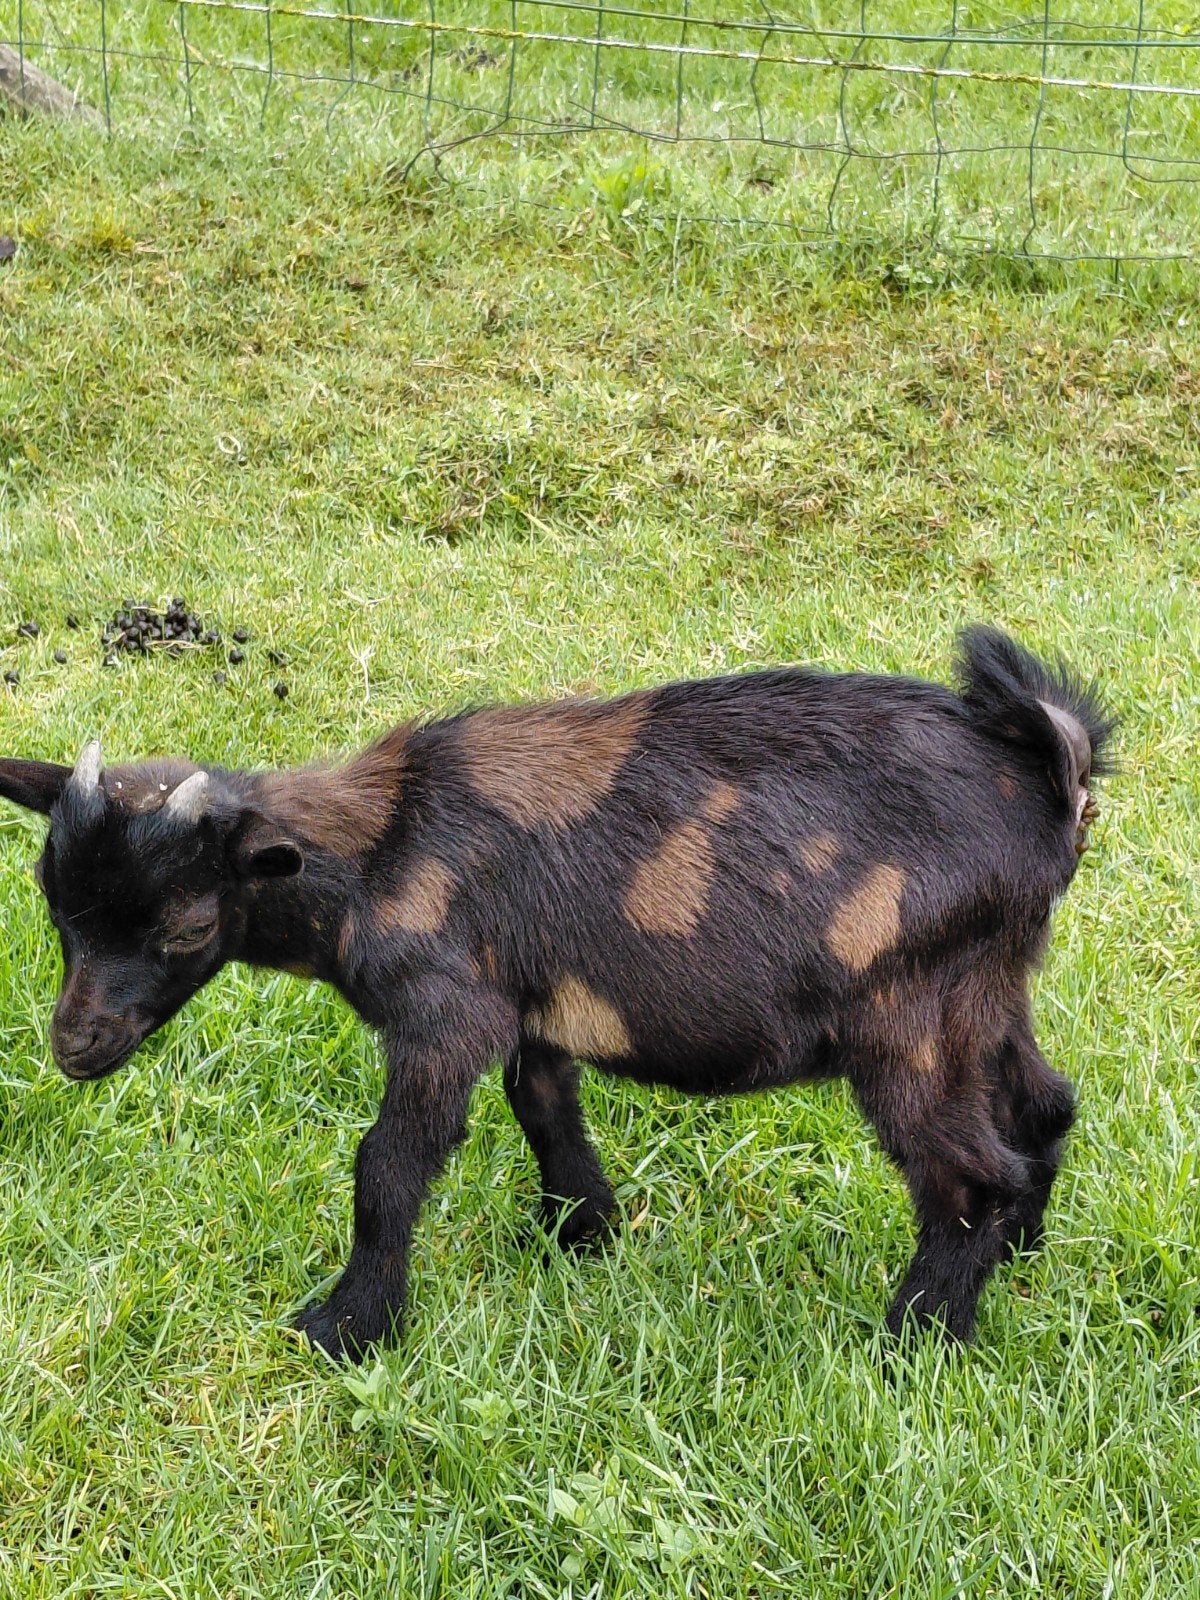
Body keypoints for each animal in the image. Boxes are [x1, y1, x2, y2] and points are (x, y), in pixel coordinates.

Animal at [0, 626, 1113, 1361]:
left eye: (187, 928)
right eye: (54, 907)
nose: (75, 1046)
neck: (376, 852)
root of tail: (1053, 783)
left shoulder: (445, 1009)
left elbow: (388, 1164)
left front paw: (348, 1327)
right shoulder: (529, 1004)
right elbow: (543, 1103)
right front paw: (582, 1234)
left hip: (906, 1013)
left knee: (970, 1176)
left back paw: (912, 1339)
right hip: (988, 989)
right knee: (1042, 1107)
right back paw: (1020, 1257)